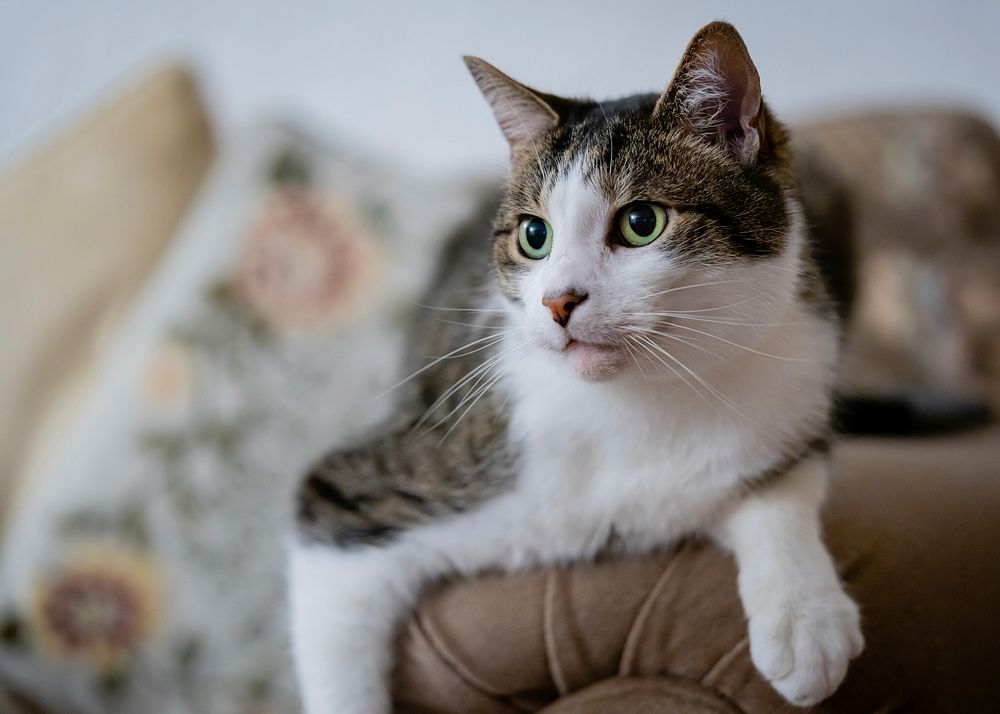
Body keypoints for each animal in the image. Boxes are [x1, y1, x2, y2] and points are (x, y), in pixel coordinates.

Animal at [288, 22, 860, 712]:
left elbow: (783, 487)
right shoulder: (367, 483)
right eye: (534, 235)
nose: (557, 301)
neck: (638, 403)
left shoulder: (793, 381)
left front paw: (806, 619)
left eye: (641, 222)